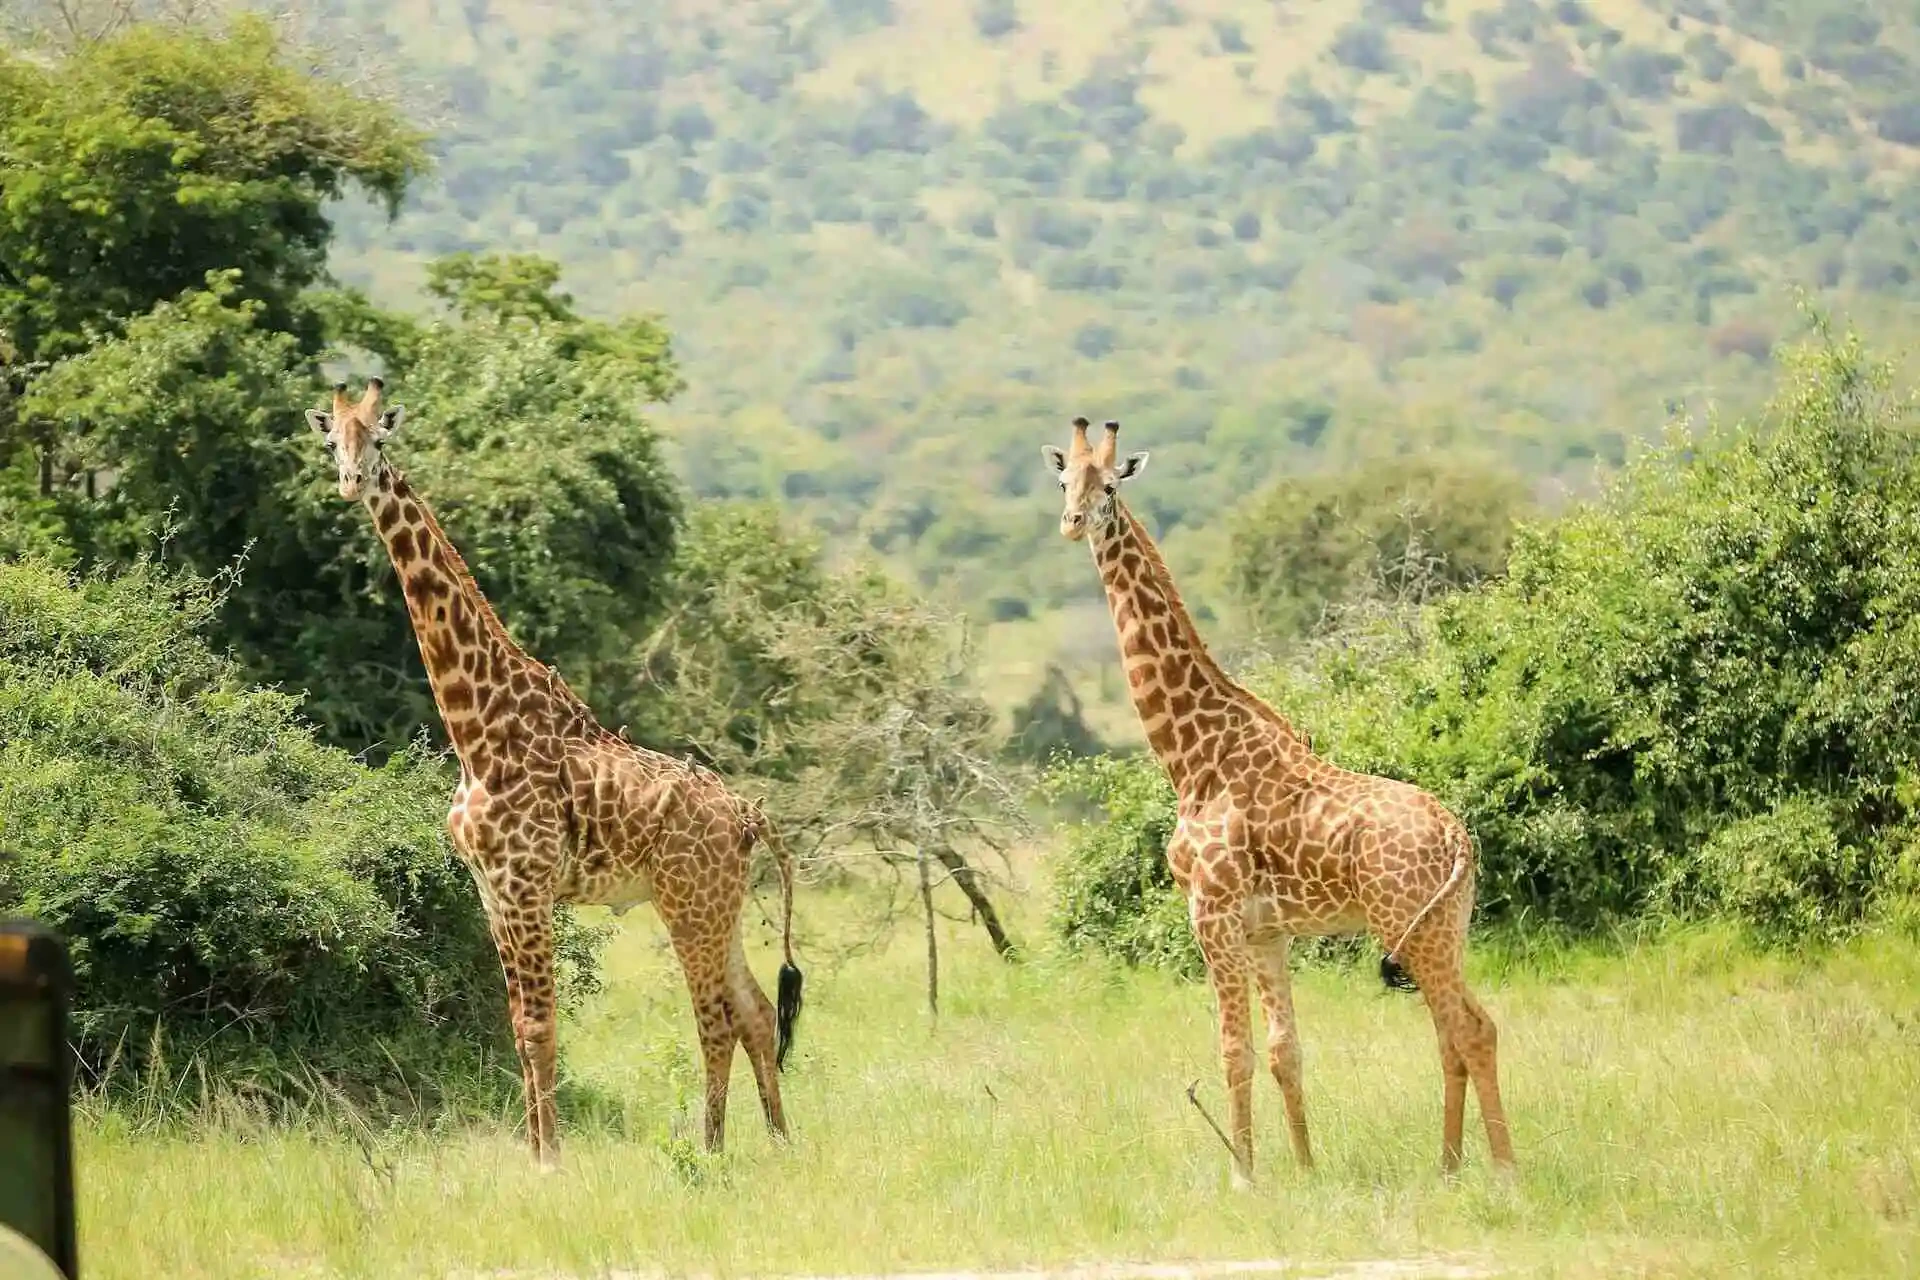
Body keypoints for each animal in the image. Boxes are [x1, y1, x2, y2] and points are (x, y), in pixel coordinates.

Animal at [307, 376, 802, 1166]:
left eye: (379, 439)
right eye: (333, 442)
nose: (353, 482)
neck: (477, 728)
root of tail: (750, 817)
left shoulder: (525, 885)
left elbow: (540, 1028)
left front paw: (550, 1161)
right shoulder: (490, 892)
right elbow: (517, 1027)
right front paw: (534, 1151)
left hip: (687, 904)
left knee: (716, 1019)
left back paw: (711, 1150)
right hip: (718, 905)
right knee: (755, 1011)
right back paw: (781, 1142)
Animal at [1044, 418, 1505, 1182]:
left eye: (1109, 486)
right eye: (1062, 481)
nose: (1072, 523)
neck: (1191, 757)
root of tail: (1459, 840)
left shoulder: (1212, 914)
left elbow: (1234, 1051)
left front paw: (1243, 1176)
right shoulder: (1268, 930)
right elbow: (1287, 1051)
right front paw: (1307, 1170)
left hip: (1409, 926)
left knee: (1467, 1028)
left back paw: (1503, 1172)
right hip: (1447, 926)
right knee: (1464, 1030)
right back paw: (1448, 1166)